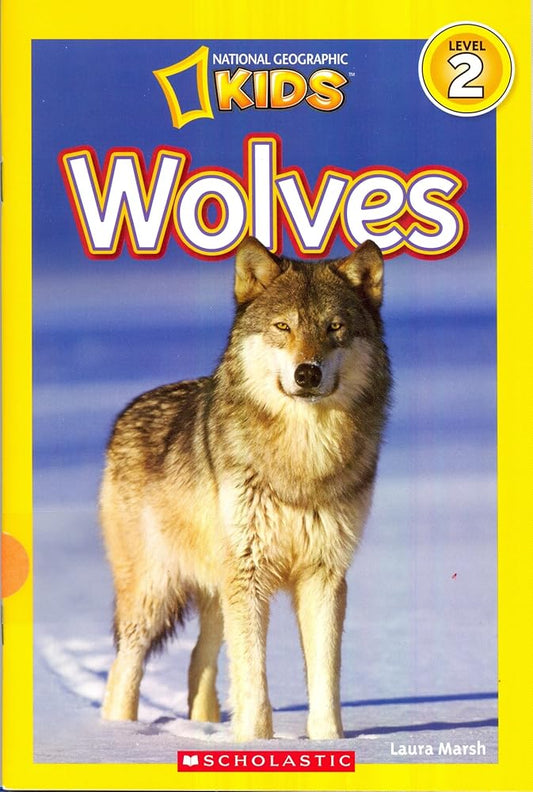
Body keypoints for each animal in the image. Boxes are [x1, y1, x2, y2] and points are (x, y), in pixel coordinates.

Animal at [100, 236, 391, 741]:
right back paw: (117, 737)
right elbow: (254, 680)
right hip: (154, 592)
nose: (307, 373)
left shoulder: (323, 575)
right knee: (124, 669)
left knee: (200, 660)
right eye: (283, 326)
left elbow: (325, 677)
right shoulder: (250, 574)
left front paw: (329, 741)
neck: (301, 459)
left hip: (216, 593)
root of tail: (128, 410)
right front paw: (256, 741)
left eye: (334, 328)